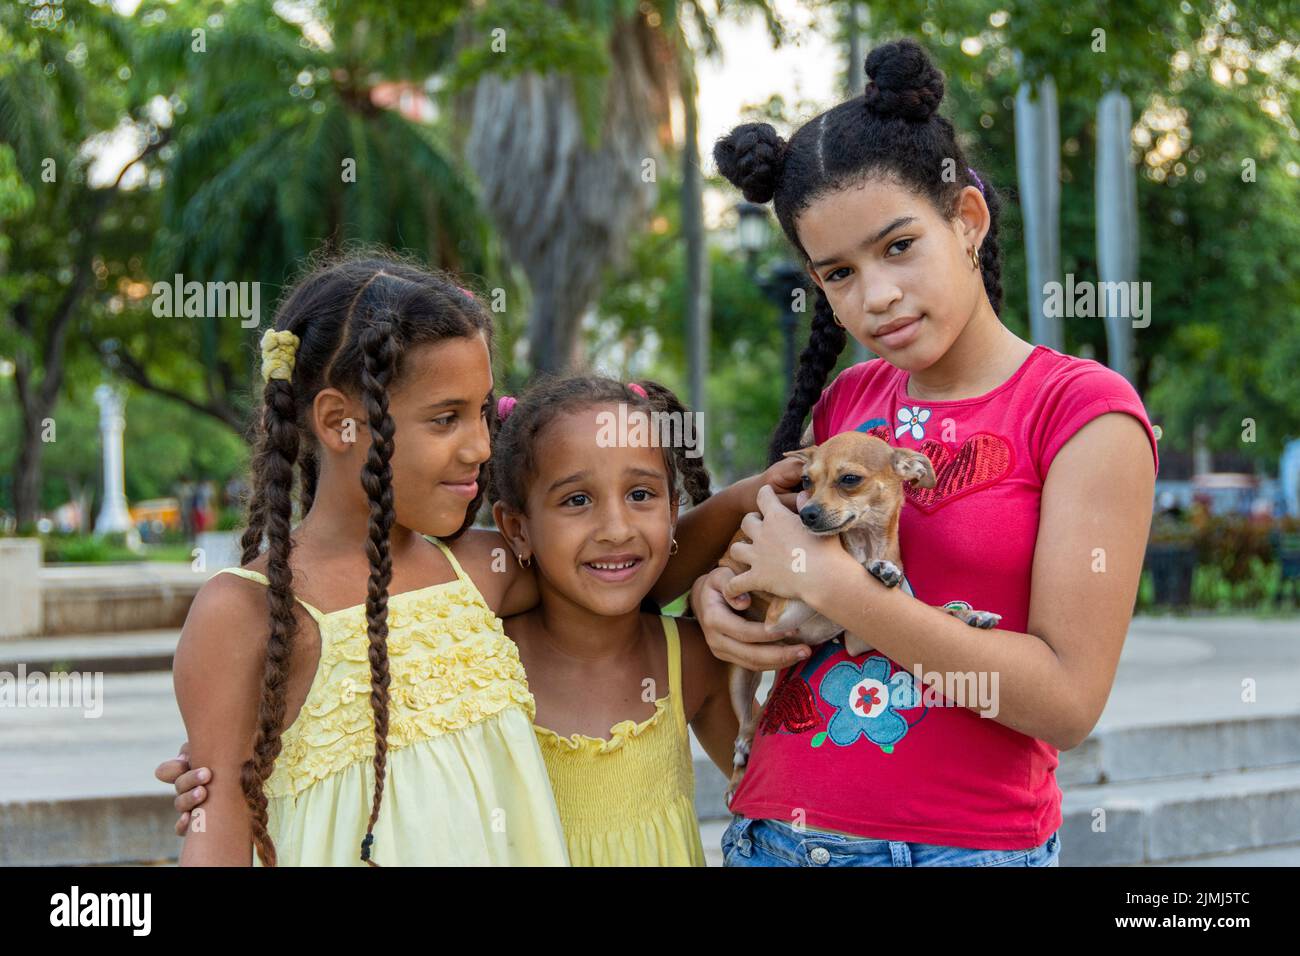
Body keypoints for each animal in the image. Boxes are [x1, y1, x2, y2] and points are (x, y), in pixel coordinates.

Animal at [717, 431, 998, 801]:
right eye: (805, 481)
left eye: (849, 479)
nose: (806, 513)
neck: (866, 542)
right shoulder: (782, 613)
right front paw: (873, 568)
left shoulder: (859, 635)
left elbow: (930, 609)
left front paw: (970, 615)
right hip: (739, 675)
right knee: (744, 725)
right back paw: (739, 765)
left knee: (757, 713)